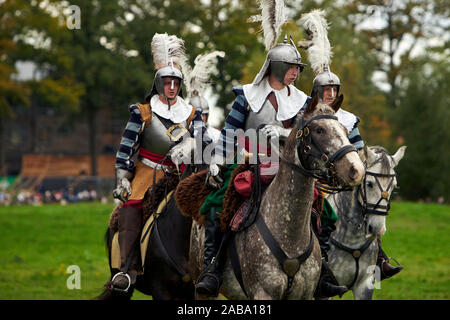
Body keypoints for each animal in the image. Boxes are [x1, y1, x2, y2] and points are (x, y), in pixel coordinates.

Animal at [187, 95, 366, 300]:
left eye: (345, 130)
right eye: (319, 129)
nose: (356, 170)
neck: (290, 235)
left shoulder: (303, 295)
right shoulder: (263, 293)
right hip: (202, 288)